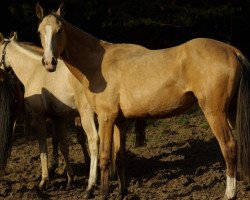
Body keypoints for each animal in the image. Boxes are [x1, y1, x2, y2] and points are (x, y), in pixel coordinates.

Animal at [35, 3, 250, 200]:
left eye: (59, 30)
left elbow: (105, 157)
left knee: (229, 146)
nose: (49, 62)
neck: (98, 63)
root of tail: (232, 50)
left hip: (215, 113)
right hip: (231, 112)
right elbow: (119, 158)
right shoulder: (120, 122)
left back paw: (229, 194)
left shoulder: (106, 118)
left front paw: (103, 194)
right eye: (39, 31)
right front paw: (122, 192)